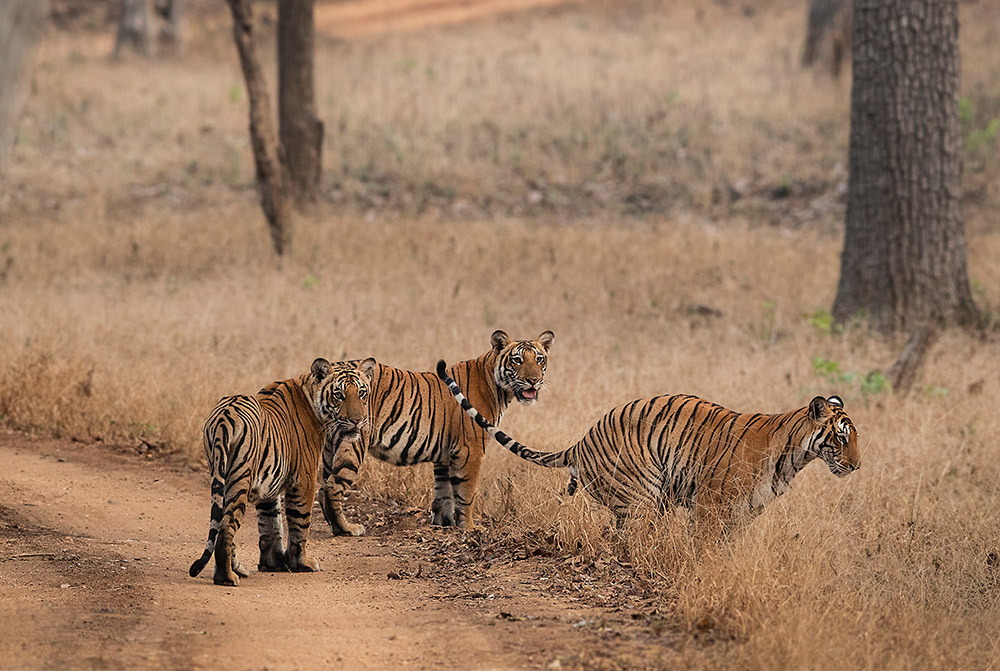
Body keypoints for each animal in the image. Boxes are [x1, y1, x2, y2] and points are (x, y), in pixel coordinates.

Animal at [188, 360, 376, 584]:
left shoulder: (268, 485)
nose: (358, 420)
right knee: (226, 527)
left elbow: (271, 523)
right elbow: (300, 523)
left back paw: (238, 569)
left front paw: (273, 563)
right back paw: (226, 577)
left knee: (220, 526)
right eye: (339, 395)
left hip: (220, 472)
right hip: (239, 479)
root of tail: (225, 416)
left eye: (362, 393)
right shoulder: (304, 479)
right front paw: (301, 563)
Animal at [320, 330, 556, 536]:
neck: (496, 387)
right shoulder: (470, 449)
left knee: (322, 487)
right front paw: (469, 528)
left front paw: (444, 523)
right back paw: (347, 529)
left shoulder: (445, 454)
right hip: (353, 439)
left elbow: (444, 493)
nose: (534, 380)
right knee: (332, 486)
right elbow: (466, 493)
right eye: (517, 360)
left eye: (539, 360)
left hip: (329, 447)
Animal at [432, 362, 860, 532]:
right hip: (642, 497)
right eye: (841, 437)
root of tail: (581, 442)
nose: (857, 465)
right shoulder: (711, 507)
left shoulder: (743, 514)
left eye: (856, 438)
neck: (794, 457)